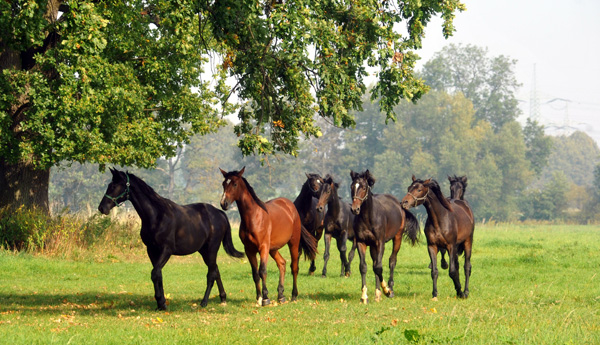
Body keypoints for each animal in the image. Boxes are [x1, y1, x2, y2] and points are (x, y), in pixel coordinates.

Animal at [97, 167, 243, 310]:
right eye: (109, 185)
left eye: (114, 186)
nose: (102, 208)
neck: (157, 215)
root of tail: (220, 213)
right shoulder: (151, 250)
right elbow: (158, 275)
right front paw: (160, 304)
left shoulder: (166, 250)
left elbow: (155, 273)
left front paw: (161, 302)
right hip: (204, 251)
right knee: (216, 270)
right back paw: (223, 298)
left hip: (212, 249)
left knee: (211, 274)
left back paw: (204, 302)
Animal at [217, 166, 318, 304]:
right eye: (223, 184)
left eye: (235, 184)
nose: (224, 203)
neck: (254, 216)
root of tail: (291, 207)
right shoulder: (249, 250)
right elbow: (255, 273)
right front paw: (259, 297)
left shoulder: (263, 247)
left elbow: (262, 271)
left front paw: (265, 298)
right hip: (273, 249)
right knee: (282, 264)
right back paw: (281, 295)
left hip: (293, 243)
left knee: (294, 267)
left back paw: (294, 295)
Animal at [350, 168, 420, 302]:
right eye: (352, 186)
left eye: (364, 187)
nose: (355, 209)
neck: (368, 218)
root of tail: (399, 204)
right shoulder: (361, 242)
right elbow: (364, 267)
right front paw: (364, 296)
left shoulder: (380, 242)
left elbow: (378, 267)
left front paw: (387, 291)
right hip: (372, 245)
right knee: (375, 264)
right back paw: (377, 294)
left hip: (397, 237)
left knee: (391, 261)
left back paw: (389, 289)